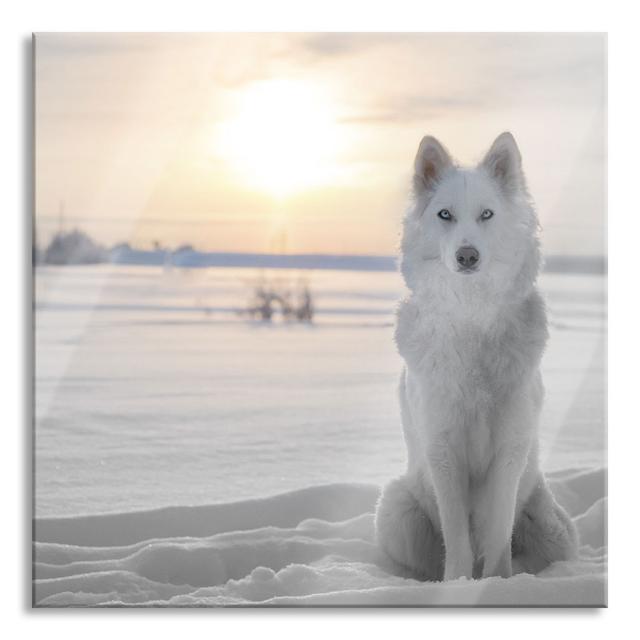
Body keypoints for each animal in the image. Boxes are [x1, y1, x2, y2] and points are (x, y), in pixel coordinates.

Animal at [376, 132, 580, 584]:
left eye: (486, 214)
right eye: (445, 215)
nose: (467, 256)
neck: (472, 316)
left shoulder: (509, 450)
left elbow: (498, 529)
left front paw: (498, 584)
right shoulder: (443, 450)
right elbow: (457, 536)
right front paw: (457, 585)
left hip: (554, 529)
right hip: (397, 512)